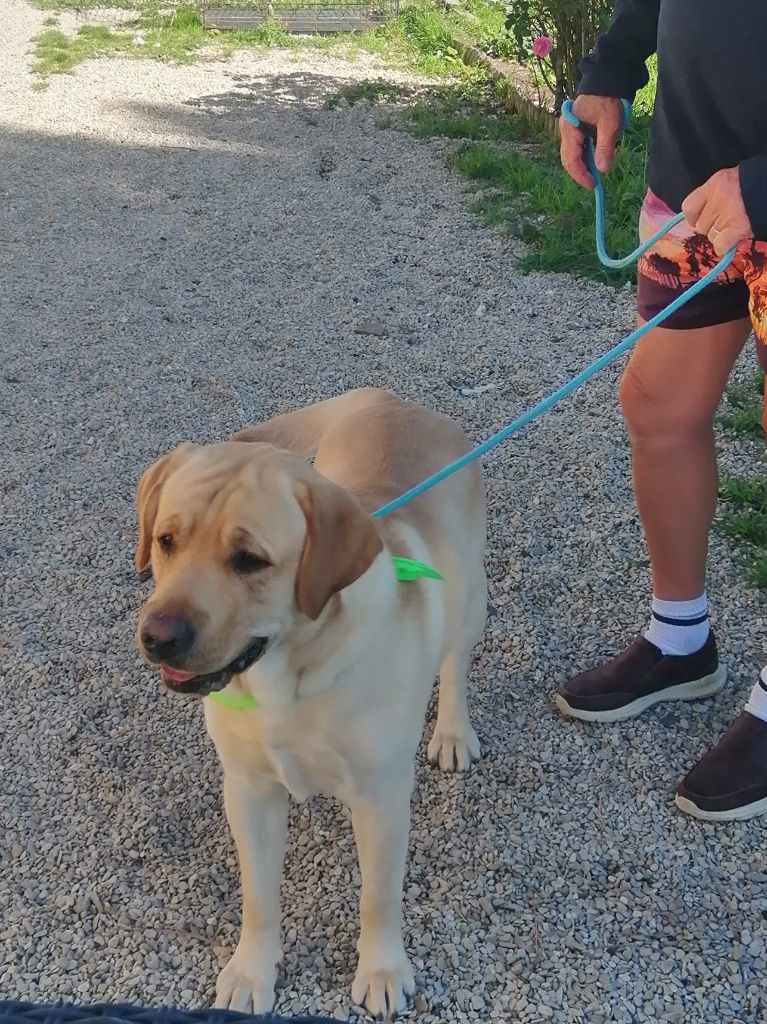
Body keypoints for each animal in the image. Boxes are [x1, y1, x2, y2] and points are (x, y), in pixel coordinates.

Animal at [134, 389, 485, 1015]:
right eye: (165, 540)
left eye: (250, 559)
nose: (157, 636)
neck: (284, 683)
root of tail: (390, 397)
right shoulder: (248, 791)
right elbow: (258, 896)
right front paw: (252, 972)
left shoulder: (381, 799)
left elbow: (378, 897)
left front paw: (382, 970)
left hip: (471, 601)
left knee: (455, 664)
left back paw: (451, 731)